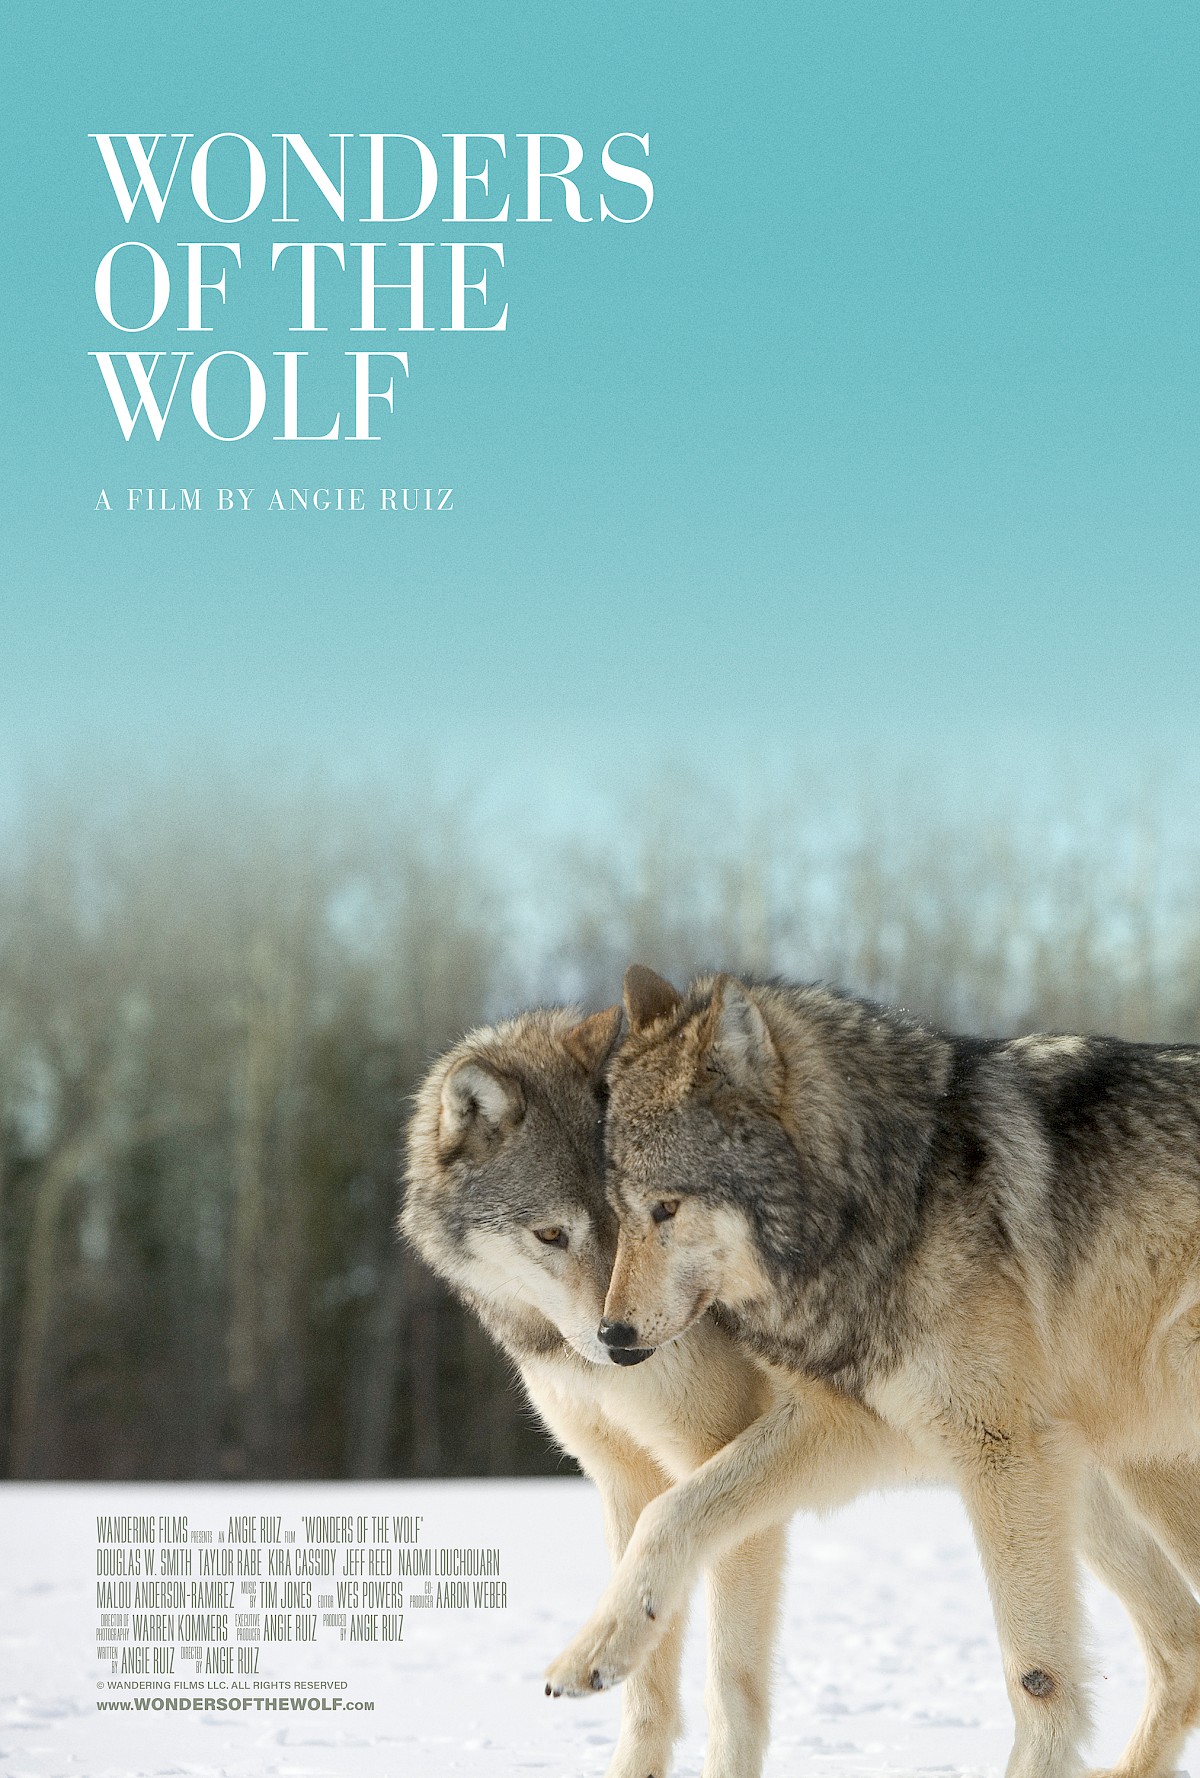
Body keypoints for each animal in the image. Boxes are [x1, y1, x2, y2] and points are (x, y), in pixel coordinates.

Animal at [400, 1003, 788, 1778]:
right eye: (552, 1234)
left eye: (656, 1213)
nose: (625, 1344)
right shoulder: (625, 1479)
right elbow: (644, 1685)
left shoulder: (723, 1473)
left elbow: (728, 1689)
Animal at [545, 966, 1200, 1778]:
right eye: (621, 1212)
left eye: (666, 1207)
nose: (614, 1337)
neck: (893, 1199)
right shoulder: (859, 1426)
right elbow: (672, 1510)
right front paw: (595, 1651)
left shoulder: (1000, 1450)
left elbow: (1037, 1675)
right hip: (1113, 1476)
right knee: (1183, 1640)